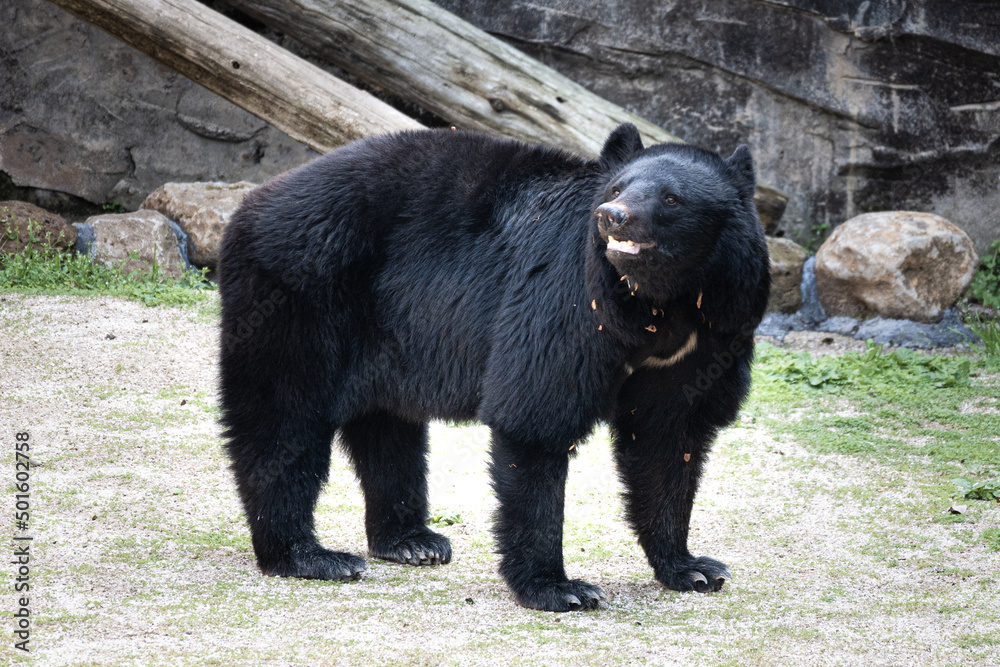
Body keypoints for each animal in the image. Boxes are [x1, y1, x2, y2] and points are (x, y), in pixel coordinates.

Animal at [217, 123, 770, 612]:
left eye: (672, 198)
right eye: (617, 187)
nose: (613, 216)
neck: (661, 304)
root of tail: (250, 201)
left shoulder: (712, 337)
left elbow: (669, 439)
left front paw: (691, 567)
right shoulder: (570, 303)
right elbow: (536, 416)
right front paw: (559, 588)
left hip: (384, 329)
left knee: (387, 427)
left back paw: (410, 540)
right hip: (301, 287)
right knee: (284, 417)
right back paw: (307, 554)